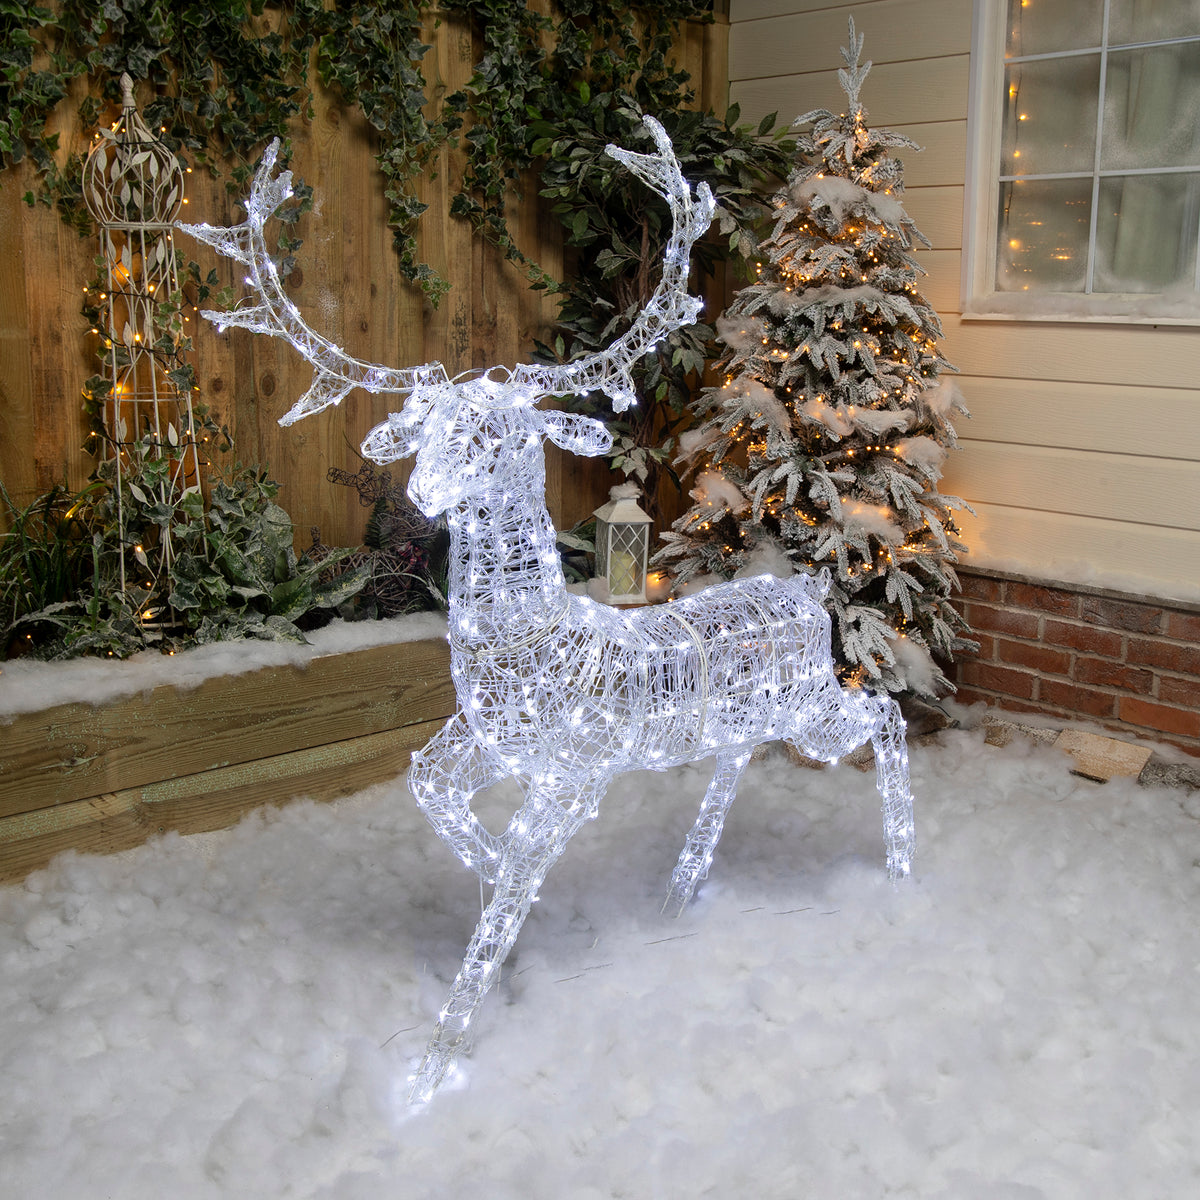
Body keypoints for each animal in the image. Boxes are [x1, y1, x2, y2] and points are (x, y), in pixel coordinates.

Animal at [182, 117, 915, 1104]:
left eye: (505, 433)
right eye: (428, 424)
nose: (422, 491)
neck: (526, 647)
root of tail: (802, 590)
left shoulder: (574, 767)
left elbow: (514, 876)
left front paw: (430, 1070)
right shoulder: (479, 739)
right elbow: (435, 797)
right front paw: (510, 920)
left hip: (811, 708)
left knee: (882, 712)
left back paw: (903, 879)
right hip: (751, 709)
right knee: (741, 752)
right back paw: (683, 888)